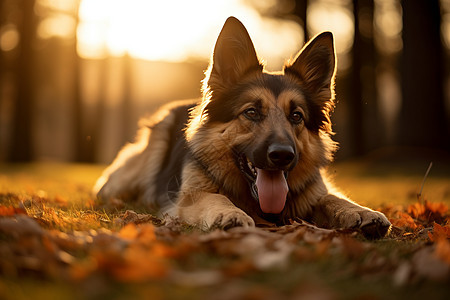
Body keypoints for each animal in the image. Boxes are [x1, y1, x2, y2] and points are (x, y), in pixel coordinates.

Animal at [95, 17, 390, 239]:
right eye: (251, 112)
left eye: (296, 116)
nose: (282, 155)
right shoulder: (188, 198)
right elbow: (215, 198)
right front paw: (231, 213)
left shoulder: (314, 190)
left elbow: (331, 198)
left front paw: (361, 211)